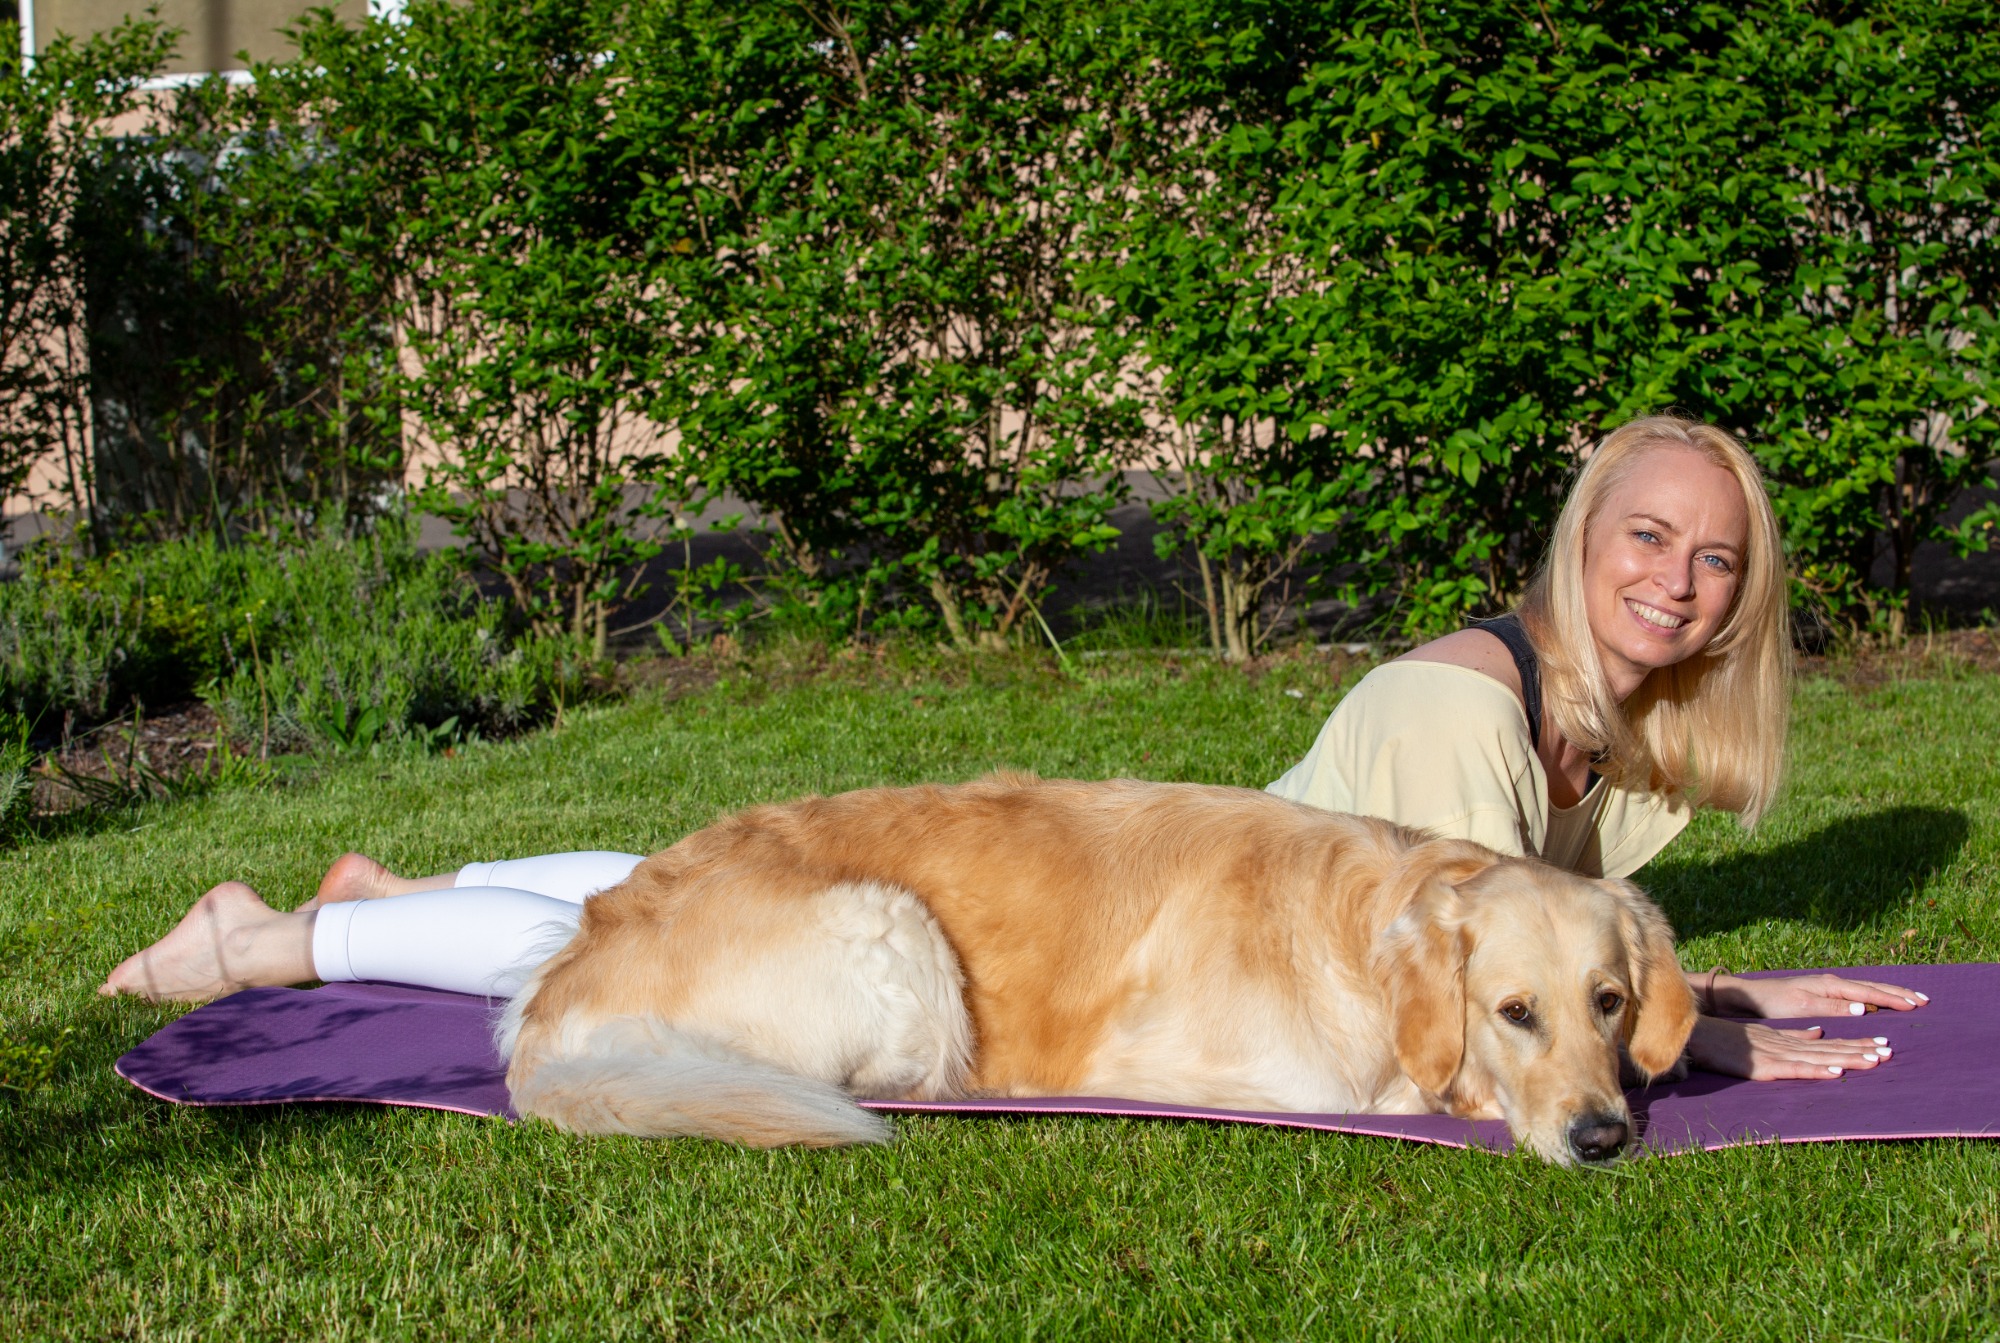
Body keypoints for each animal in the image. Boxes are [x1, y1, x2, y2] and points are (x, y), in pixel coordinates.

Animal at [501, 774, 1698, 1164]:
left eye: (1608, 1001)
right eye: (1513, 1011)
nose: (1603, 1138)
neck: (1357, 925)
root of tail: (544, 1018)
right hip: (895, 933)